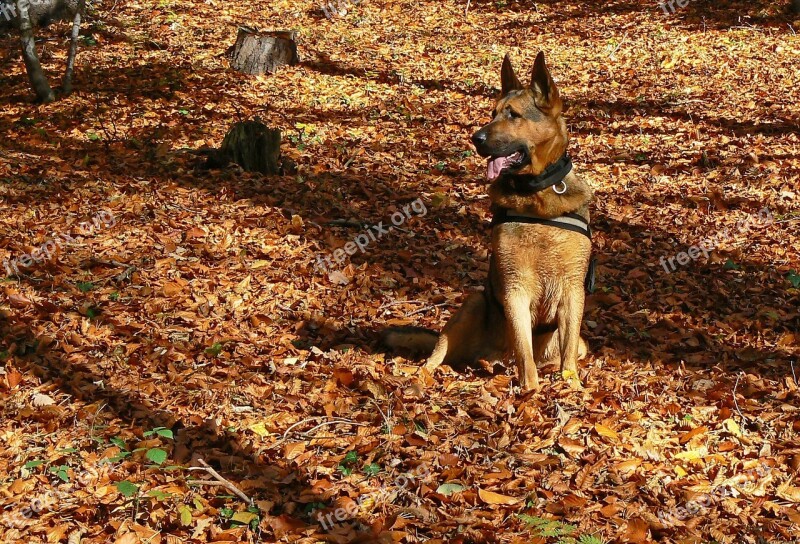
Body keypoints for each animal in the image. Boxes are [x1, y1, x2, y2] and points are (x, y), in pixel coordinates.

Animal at [388, 52, 592, 392]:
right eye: (492, 113)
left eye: (513, 115)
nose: (476, 138)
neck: (537, 195)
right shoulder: (515, 290)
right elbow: (524, 351)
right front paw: (532, 391)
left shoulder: (573, 292)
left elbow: (567, 355)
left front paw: (571, 387)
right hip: (472, 304)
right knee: (438, 354)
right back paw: (425, 375)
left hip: (579, 342)